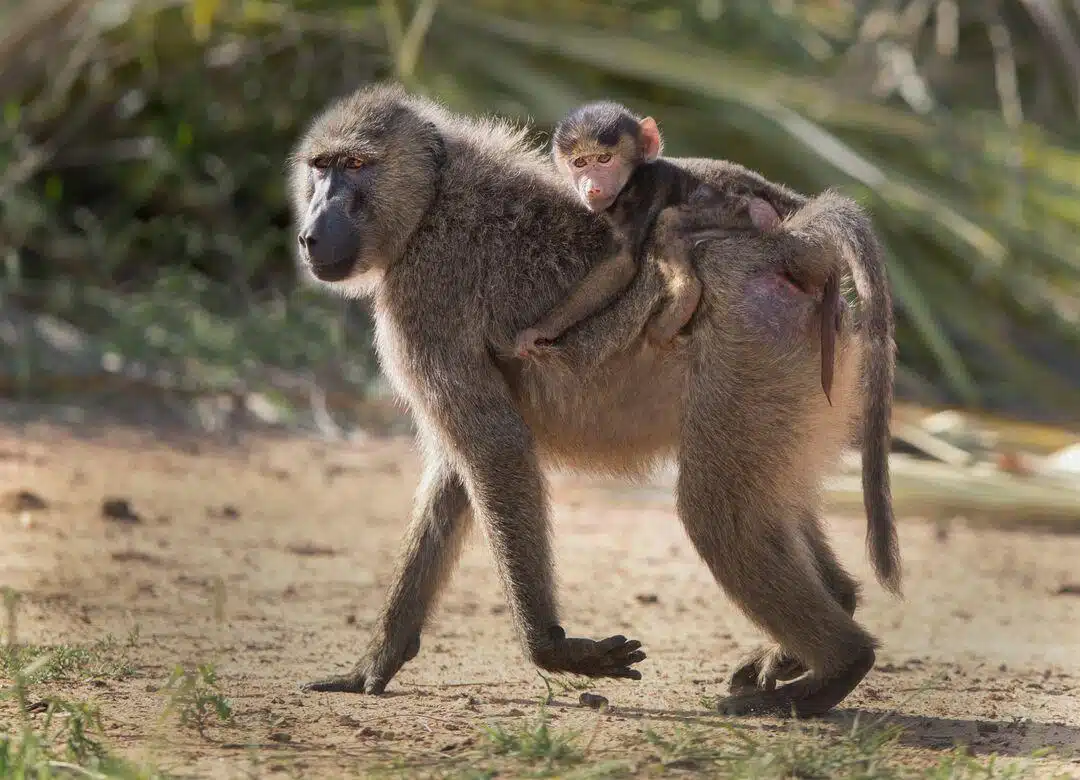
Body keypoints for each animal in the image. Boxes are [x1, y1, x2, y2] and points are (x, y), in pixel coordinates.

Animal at [514, 101, 783, 365]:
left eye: (604, 158)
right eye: (580, 163)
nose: (592, 187)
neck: (633, 176)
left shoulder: (643, 191)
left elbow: (622, 263)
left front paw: (540, 330)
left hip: (730, 214)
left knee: (669, 220)